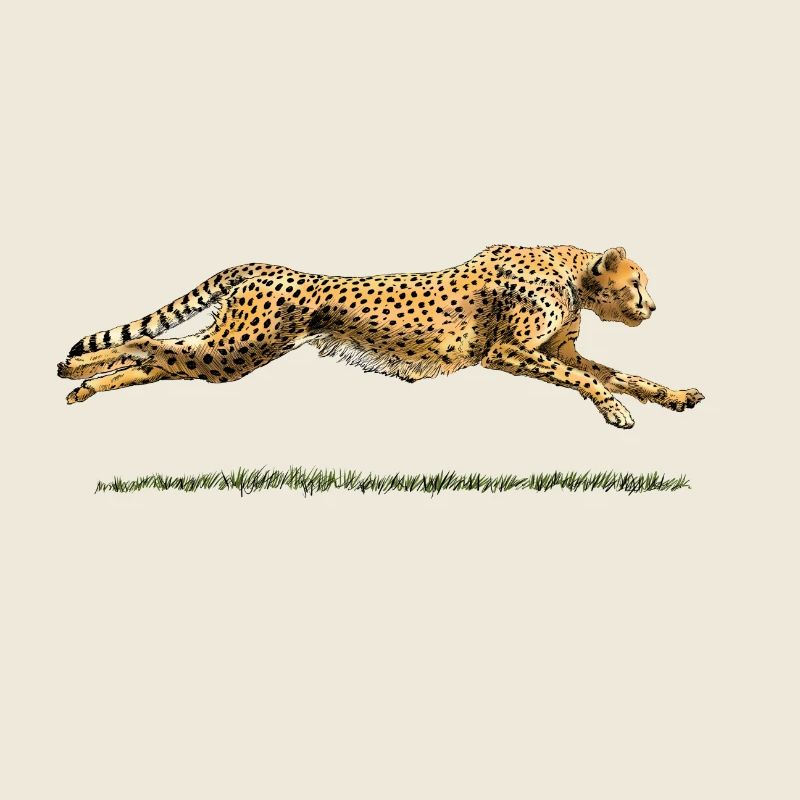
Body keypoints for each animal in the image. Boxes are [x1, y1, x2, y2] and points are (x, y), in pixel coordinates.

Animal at [57, 244, 704, 428]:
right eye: (637, 283)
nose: (653, 307)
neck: (573, 274)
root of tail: (266, 265)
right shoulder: (506, 351)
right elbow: (581, 378)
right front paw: (616, 412)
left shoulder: (554, 349)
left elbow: (620, 374)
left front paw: (674, 396)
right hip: (236, 350)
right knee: (150, 345)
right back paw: (72, 369)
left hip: (228, 354)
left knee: (160, 358)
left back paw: (80, 387)